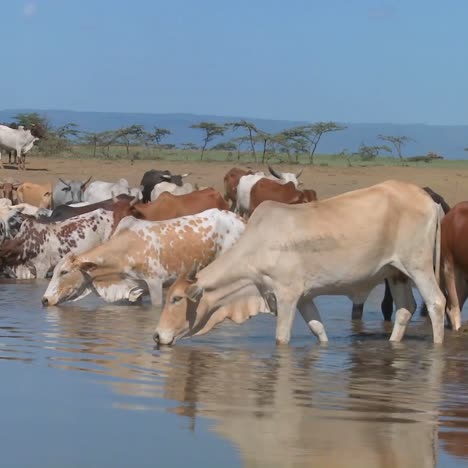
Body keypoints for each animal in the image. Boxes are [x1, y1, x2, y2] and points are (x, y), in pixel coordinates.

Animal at [154, 181, 446, 346]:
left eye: (176, 299)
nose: (157, 336)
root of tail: (428, 199)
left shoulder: (287, 295)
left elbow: (282, 338)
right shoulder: (305, 297)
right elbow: (318, 330)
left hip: (418, 266)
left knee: (436, 303)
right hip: (395, 272)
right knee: (406, 309)